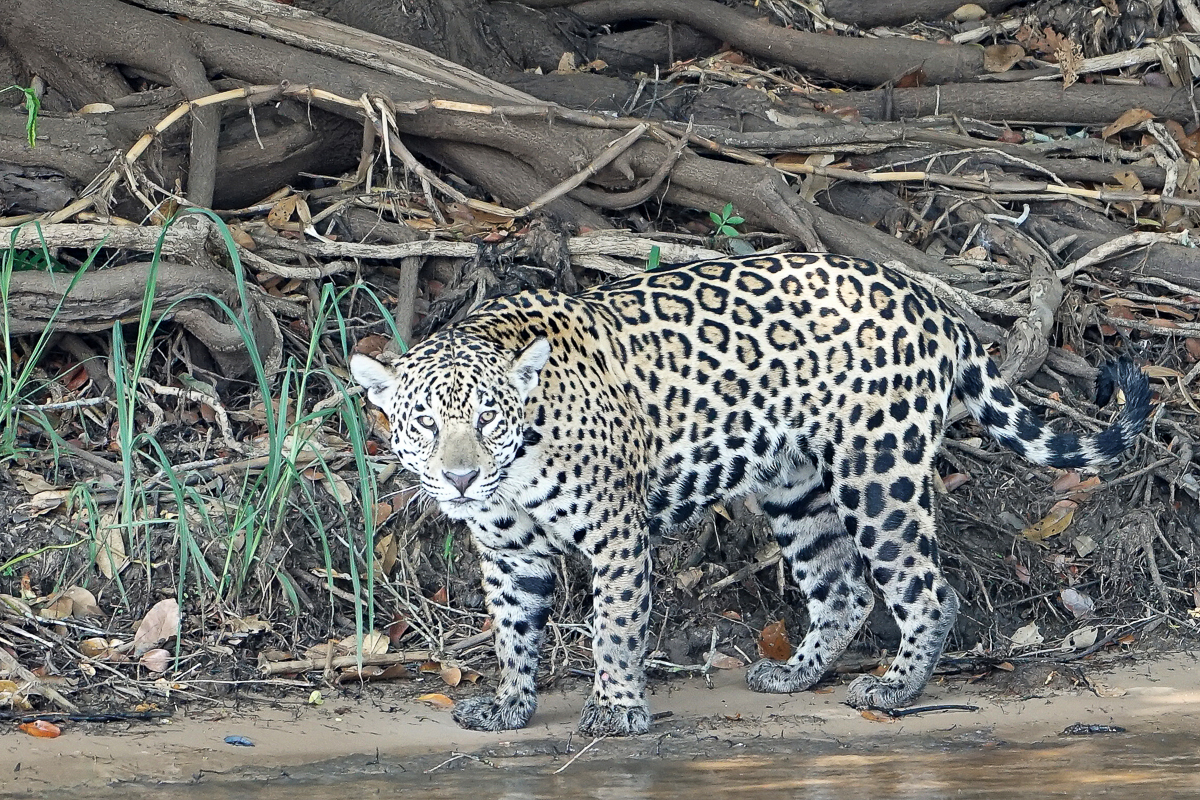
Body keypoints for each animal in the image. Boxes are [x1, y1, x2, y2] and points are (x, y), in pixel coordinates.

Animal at [350, 252, 1150, 737]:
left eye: (487, 418)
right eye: (425, 423)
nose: (459, 478)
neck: (516, 465)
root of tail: (926, 298)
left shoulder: (616, 535)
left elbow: (615, 626)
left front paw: (616, 709)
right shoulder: (508, 554)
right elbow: (513, 632)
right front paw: (510, 705)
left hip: (878, 474)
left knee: (926, 589)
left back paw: (895, 689)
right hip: (795, 488)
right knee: (843, 589)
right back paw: (795, 675)